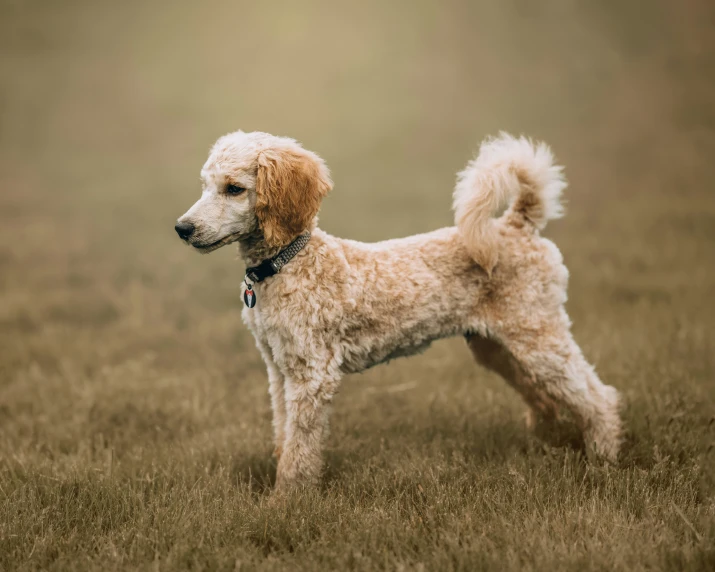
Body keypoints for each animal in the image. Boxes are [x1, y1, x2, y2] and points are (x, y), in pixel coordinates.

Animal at [176, 131, 624, 492]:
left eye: (234, 188)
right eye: (205, 185)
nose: (182, 228)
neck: (289, 264)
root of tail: (517, 225)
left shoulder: (312, 374)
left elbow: (300, 450)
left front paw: (287, 501)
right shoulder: (279, 369)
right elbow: (284, 436)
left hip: (536, 335)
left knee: (598, 397)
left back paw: (604, 458)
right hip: (497, 346)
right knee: (546, 397)